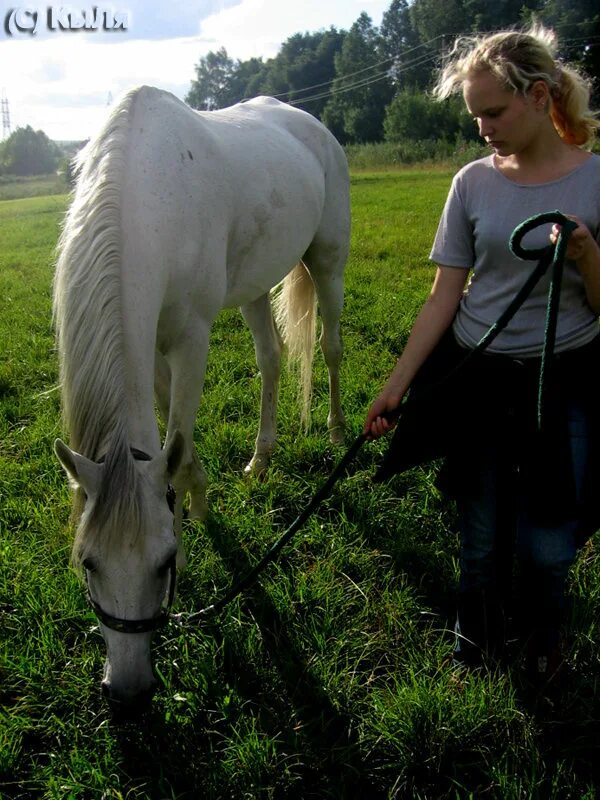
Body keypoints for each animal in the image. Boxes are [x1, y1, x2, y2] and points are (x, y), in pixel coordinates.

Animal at [55, 87, 352, 708]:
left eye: (164, 562)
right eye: (88, 563)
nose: (129, 694)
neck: (147, 198)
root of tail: (311, 125)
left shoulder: (190, 340)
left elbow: (179, 438)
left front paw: (192, 514)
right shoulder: (154, 353)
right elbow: (174, 440)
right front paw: (194, 498)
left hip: (327, 260)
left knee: (331, 347)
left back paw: (337, 431)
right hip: (256, 287)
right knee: (270, 359)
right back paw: (261, 457)